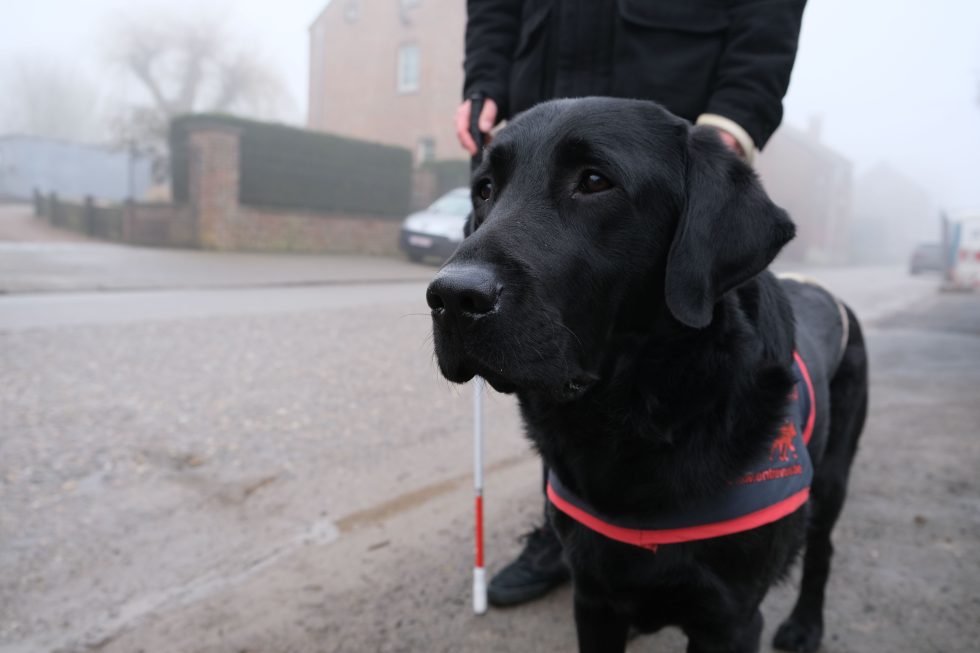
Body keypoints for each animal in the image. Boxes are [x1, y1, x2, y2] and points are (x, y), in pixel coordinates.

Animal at [426, 98, 864, 652]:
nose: (451, 297)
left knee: (822, 549)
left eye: (595, 181)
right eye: (485, 189)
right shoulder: (594, 599)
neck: (631, 419)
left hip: (832, 477)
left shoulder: (731, 618)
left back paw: (806, 626)